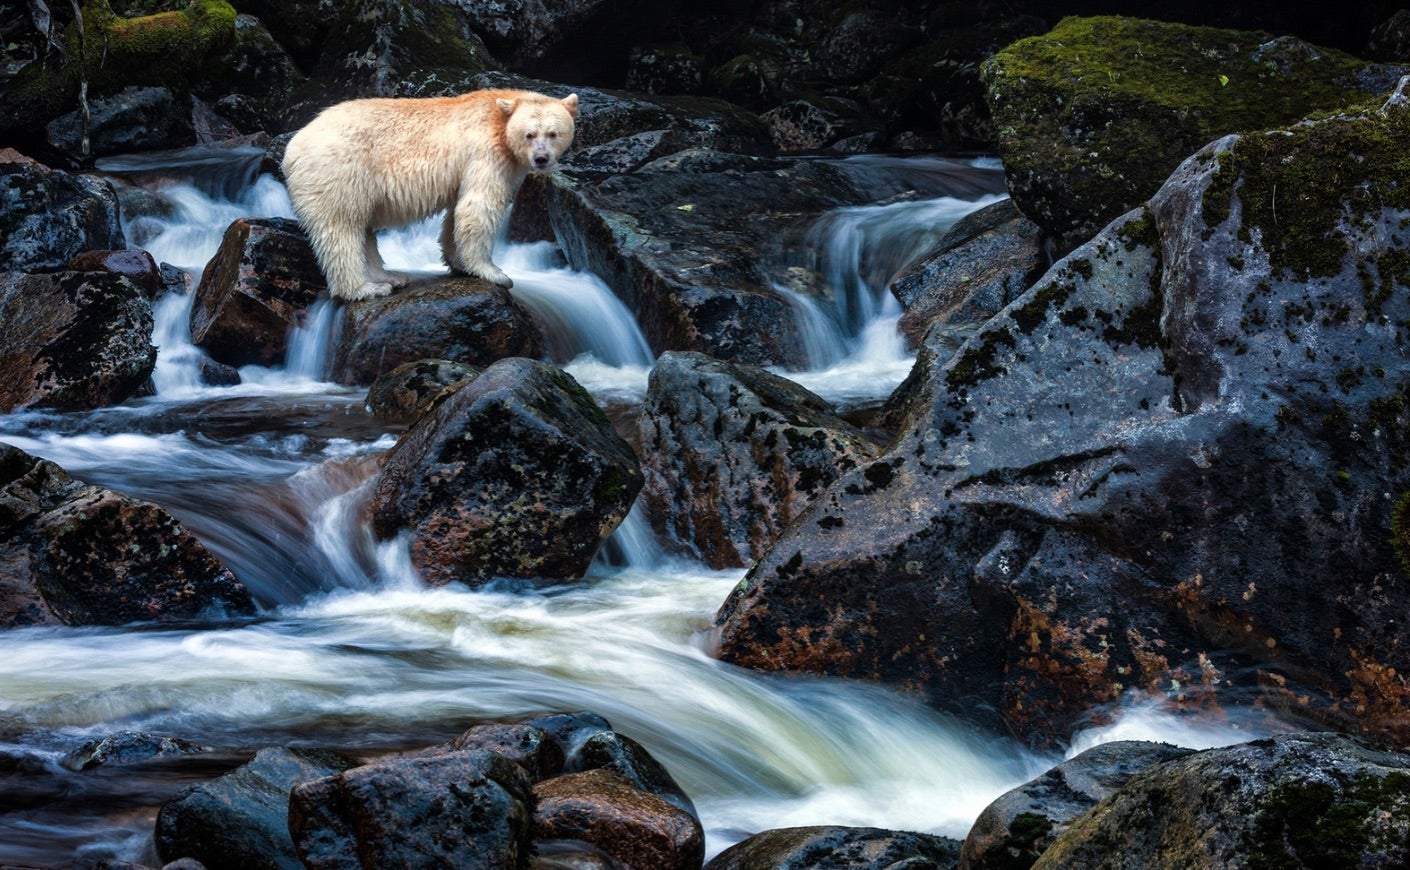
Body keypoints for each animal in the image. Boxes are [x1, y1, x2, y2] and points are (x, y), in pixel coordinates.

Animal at [281, 88, 579, 302]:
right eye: (530, 134)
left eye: (553, 133)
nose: (541, 158)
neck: (499, 118)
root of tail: (292, 148)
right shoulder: (486, 152)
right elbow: (479, 206)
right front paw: (494, 273)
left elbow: (458, 211)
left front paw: (458, 262)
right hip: (339, 171)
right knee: (342, 227)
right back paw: (364, 289)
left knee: (363, 228)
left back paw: (388, 277)